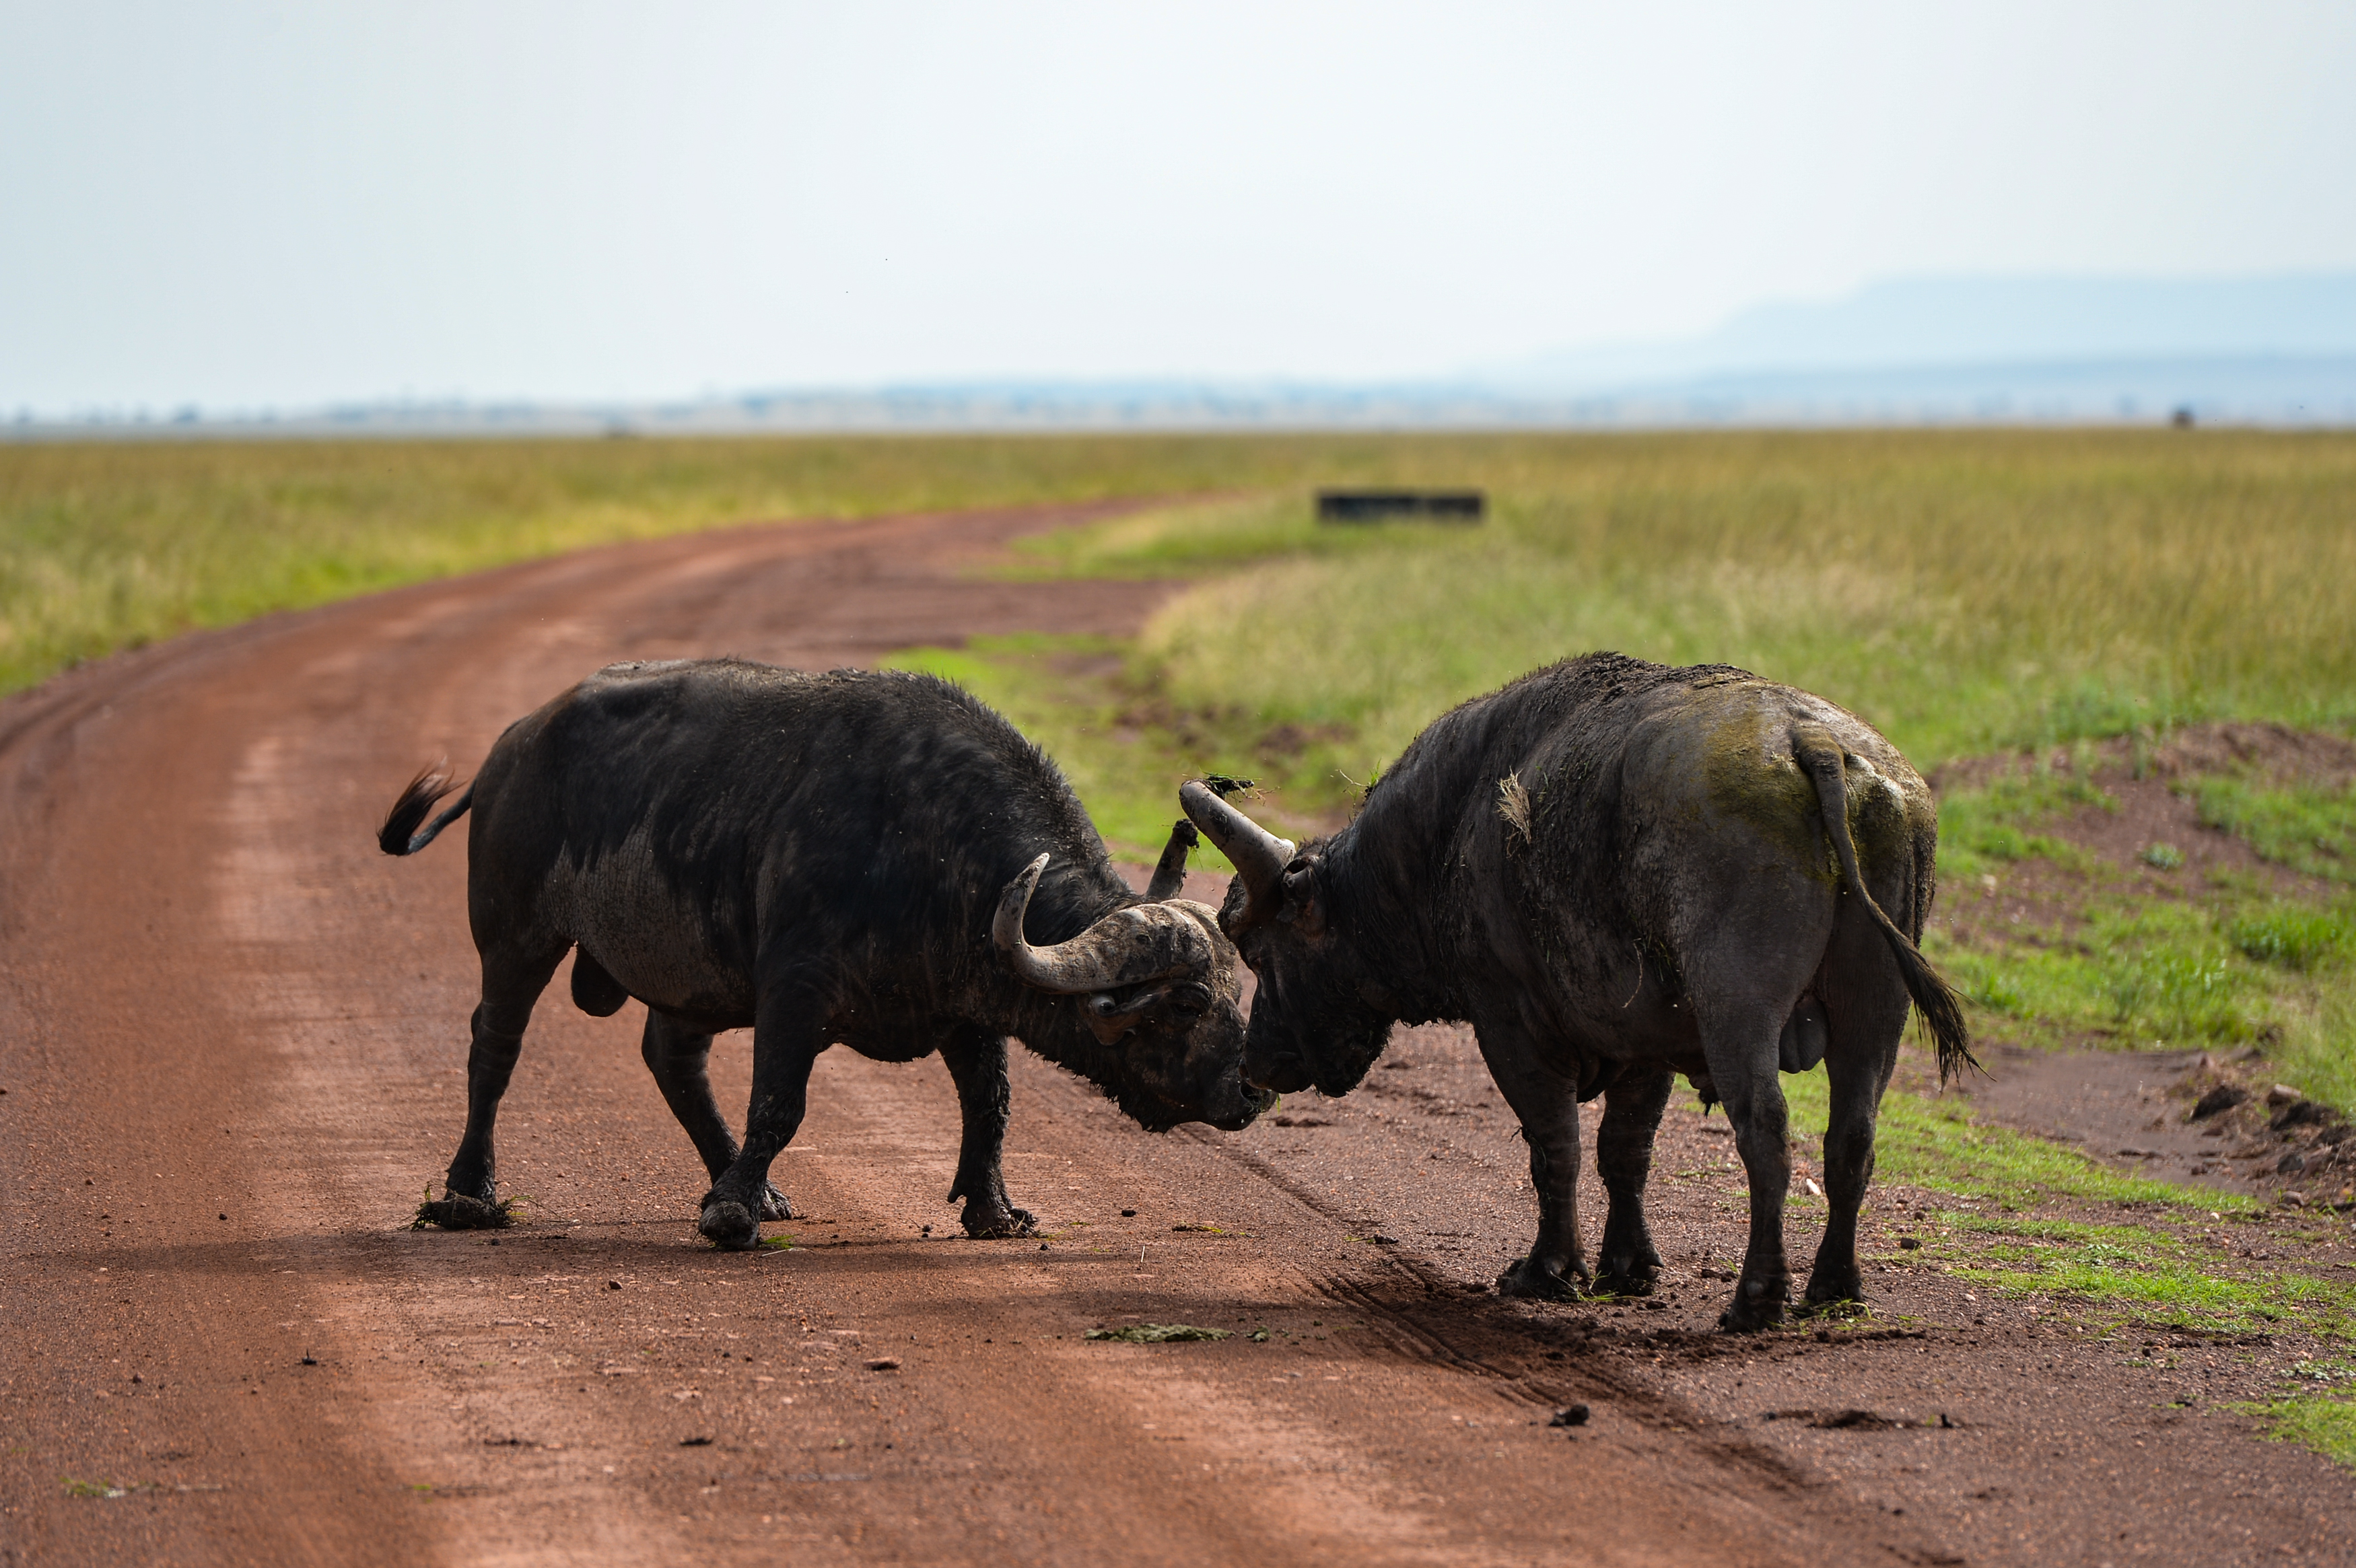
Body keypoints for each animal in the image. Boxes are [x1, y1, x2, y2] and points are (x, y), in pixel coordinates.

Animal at [377, 654, 1272, 1243]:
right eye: (1188, 1000)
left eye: (1239, 992)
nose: (1251, 1090)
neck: (933, 843)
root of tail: (511, 748)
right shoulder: (794, 990)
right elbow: (780, 1099)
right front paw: (730, 1213)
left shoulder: (969, 1002)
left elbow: (989, 1104)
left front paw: (993, 1210)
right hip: (515, 937)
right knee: (493, 1047)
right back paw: (469, 1192)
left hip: (689, 975)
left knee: (670, 1057)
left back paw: (746, 1180)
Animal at [1178, 654, 1970, 1328]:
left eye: (1258, 951)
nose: (1255, 1062)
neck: (1446, 827)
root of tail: (1813, 742)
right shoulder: (1648, 1036)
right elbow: (1625, 1148)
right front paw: (1628, 1265)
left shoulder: (1506, 1022)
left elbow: (1551, 1142)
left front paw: (1549, 1268)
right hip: (1876, 1006)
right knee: (1852, 1136)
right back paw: (1833, 1287)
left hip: (1737, 1006)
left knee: (1766, 1131)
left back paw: (1756, 1297)